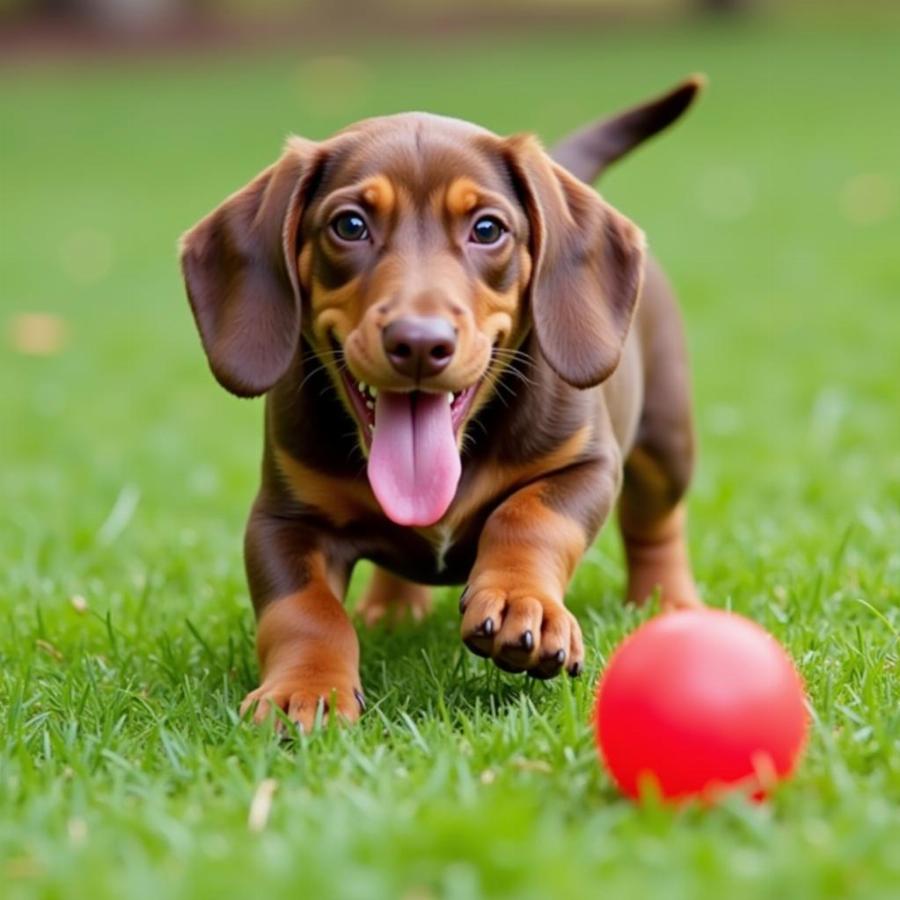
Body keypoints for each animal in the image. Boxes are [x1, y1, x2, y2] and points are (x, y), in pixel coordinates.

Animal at [181, 75, 704, 732]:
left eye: (487, 229)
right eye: (349, 225)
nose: (419, 343)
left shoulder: (586, 465)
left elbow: (529, 517)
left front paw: (522, 603)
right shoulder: (282, 519)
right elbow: (304, 609)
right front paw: (305, 688)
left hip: (665, 440)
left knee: (657, 520)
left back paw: (668, 601)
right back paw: (390, 609)